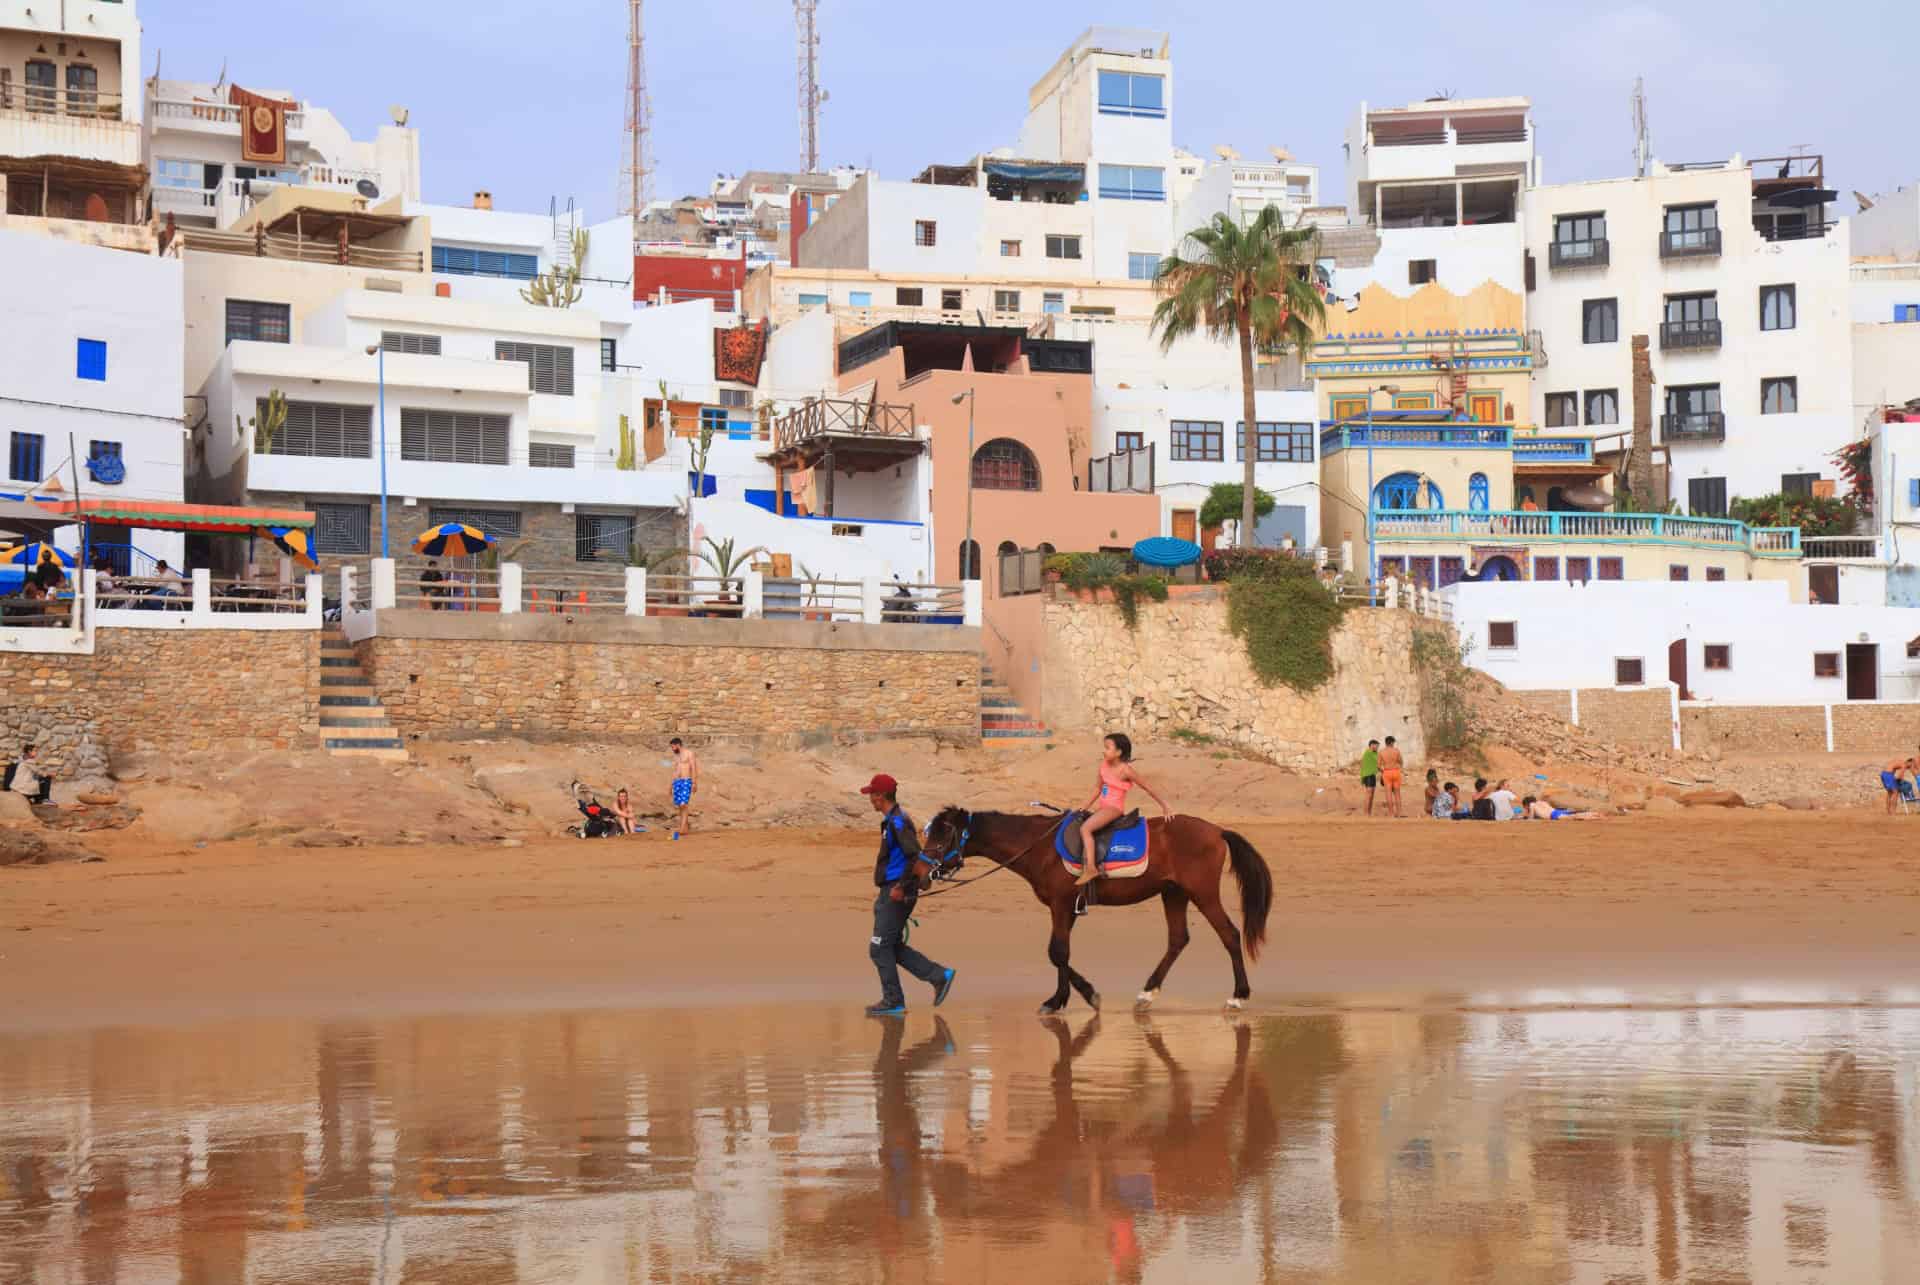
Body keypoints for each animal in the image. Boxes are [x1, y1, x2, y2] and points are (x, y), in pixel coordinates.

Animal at [917, 810, 1274, 1014]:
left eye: (942, 836)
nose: (919, 874)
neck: (1040, 846)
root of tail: (1217, 830)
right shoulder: (1067, 908)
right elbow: (1059, 953)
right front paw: (1076, 995)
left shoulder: (1062, 905)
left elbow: (1057, 953)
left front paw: (1067, 998)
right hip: (1173, 893)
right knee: (1178, 940)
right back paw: (1147, 994)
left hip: (1202, 893)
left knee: (1230, 935)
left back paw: (1238, 996)